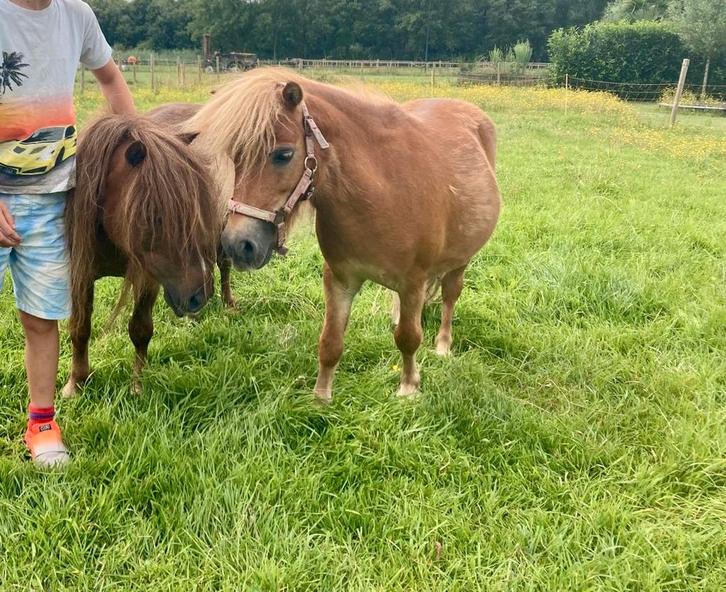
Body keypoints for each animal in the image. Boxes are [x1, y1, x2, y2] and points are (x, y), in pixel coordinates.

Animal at [62, 113, 223, 397]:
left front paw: (138, 385)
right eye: (155, 217)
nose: (199, 296)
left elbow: (141, 329)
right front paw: (76, 384)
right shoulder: (79, 273)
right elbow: (80, 327)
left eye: (199, 208)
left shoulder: (148, 276)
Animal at [185, 68, 501, 402]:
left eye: (283, 155)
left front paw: (408, 388)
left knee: (450, 297)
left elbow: (408, 337)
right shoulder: (339, 279)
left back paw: (442, 345)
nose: (238, 244)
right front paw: (321, 397)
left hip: (461, 261)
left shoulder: (412, 282)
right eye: (235, 155)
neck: (382, 191)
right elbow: (330, 341)